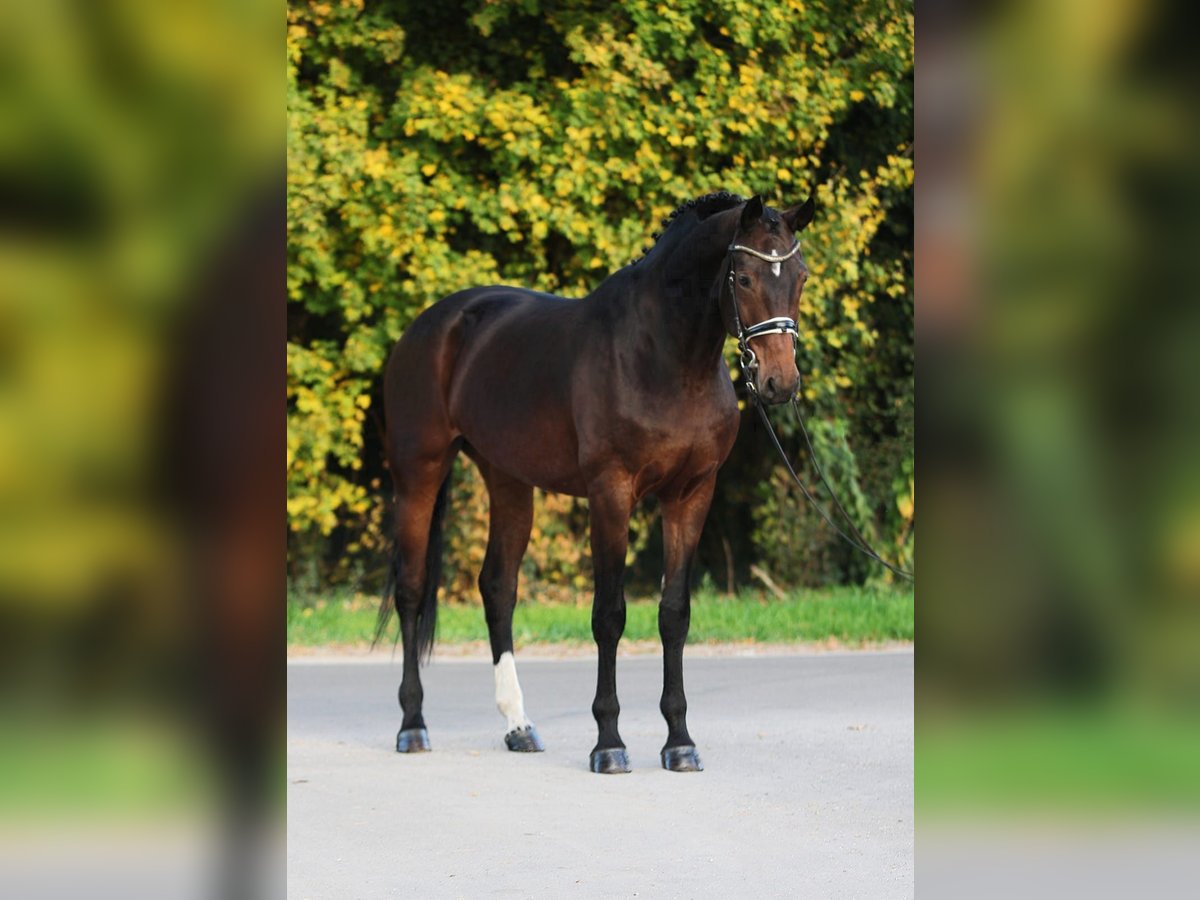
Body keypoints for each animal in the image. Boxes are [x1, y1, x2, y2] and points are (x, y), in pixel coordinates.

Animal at [379, 192, 811, 777]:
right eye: (743, 277)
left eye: (801, 276)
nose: (779, 382)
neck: (664, 357)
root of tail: (432, 325)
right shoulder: (611, 494)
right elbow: (609, 615)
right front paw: (609, 743)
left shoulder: (691, 495)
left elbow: (674, 615)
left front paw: (679, 742)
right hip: (418, 474)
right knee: (411, 589)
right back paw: (412, 726)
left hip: (508, 480)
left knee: (498, 588)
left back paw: (519, 726)